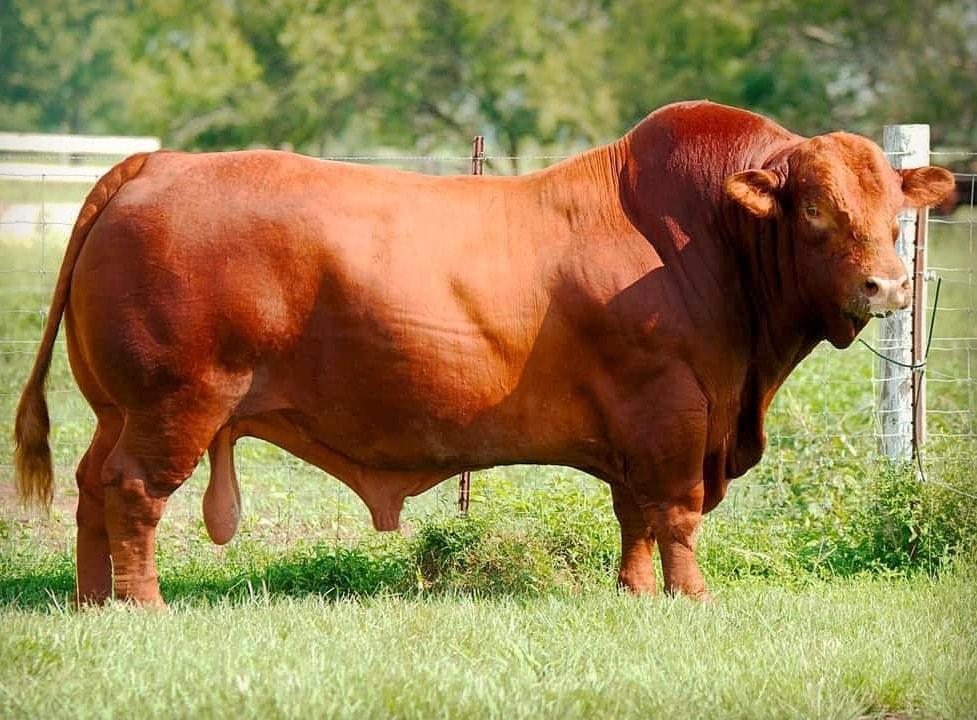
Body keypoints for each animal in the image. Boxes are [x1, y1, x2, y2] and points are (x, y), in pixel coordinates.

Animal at [14, 101, 954, 606]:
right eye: (814, 210)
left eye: (895, 211)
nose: (885, 286)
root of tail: (155, 165)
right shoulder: (674, 409)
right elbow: (677, 513)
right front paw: (692, 597)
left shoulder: (638, 427)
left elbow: (635, 516)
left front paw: (634, 593)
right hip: (175, 402)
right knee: (134, 493)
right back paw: (142, 607)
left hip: (118, 406)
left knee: (91, 486)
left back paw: (93, 602)